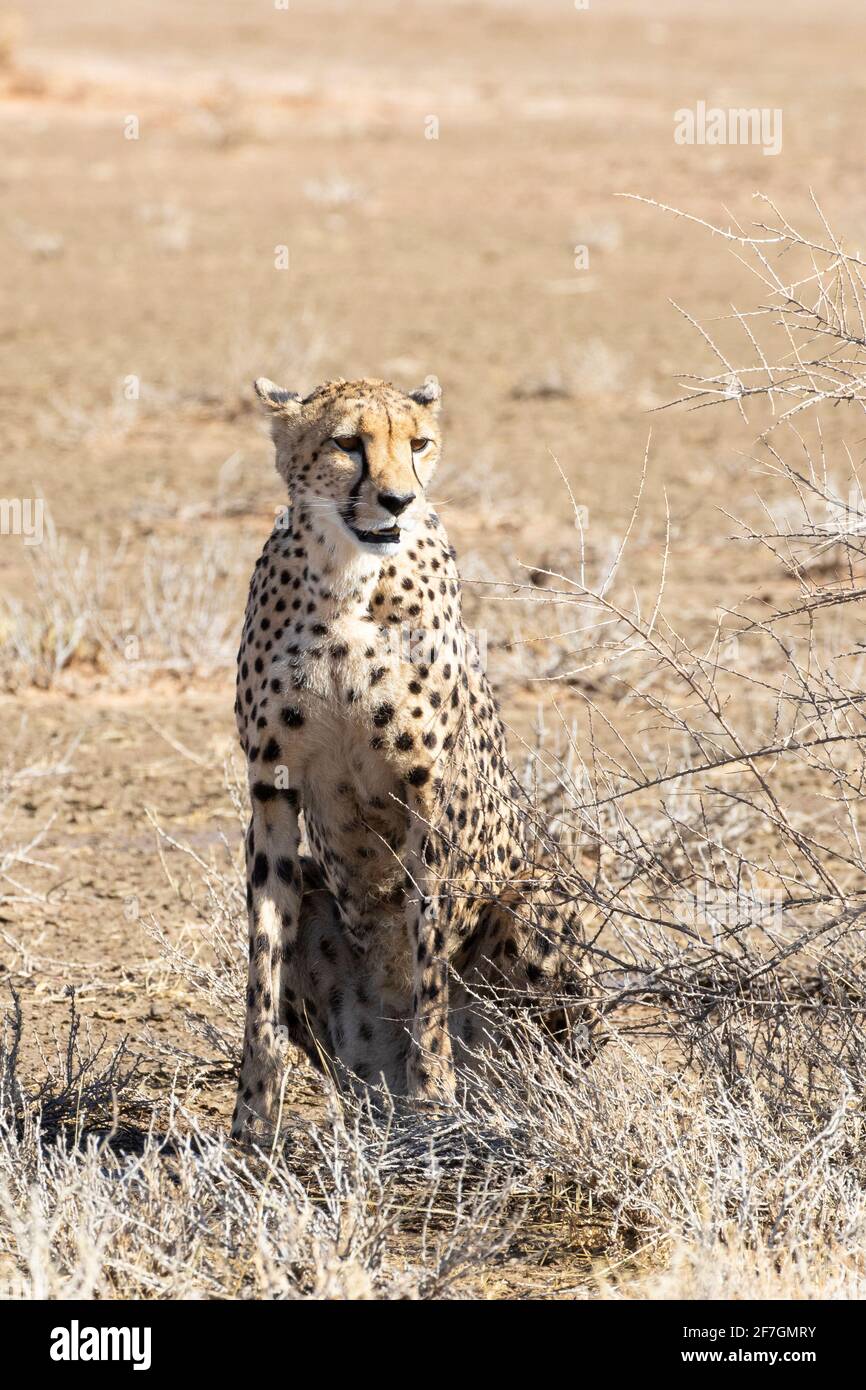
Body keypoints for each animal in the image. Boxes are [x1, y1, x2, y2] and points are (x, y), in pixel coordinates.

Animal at [230, 372, 594, 1139]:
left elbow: (428, 959)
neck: (345, 577)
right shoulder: (272, 790)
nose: (398, 500)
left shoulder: (430, 792)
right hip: (327, 931)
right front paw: (253, 1120)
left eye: (419, 443)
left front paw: (434, 1099)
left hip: (544, 895)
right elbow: (262, 969)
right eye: (347, 443)